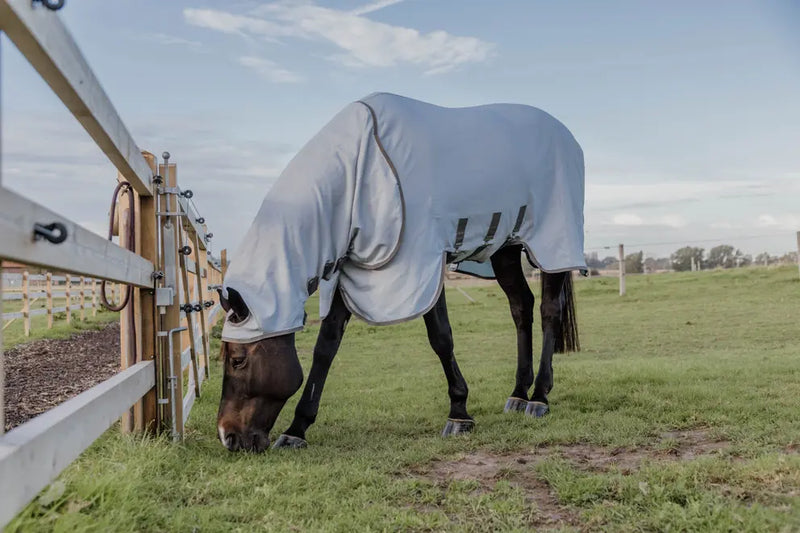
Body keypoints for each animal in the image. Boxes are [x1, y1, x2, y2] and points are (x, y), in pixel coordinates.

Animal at [216, 93, 584, 450]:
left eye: (238, 360)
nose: (228, 437)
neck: (361, 169)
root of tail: (566, 135)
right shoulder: (353, 269)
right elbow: (325, 348)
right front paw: (297, 430)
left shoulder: (422, 264)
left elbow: (441, 338)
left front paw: (459, 413)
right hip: (506, 249)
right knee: (521, 307)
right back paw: (518, 394)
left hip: (552, 244)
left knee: (549, 310)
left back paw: (539, 398)